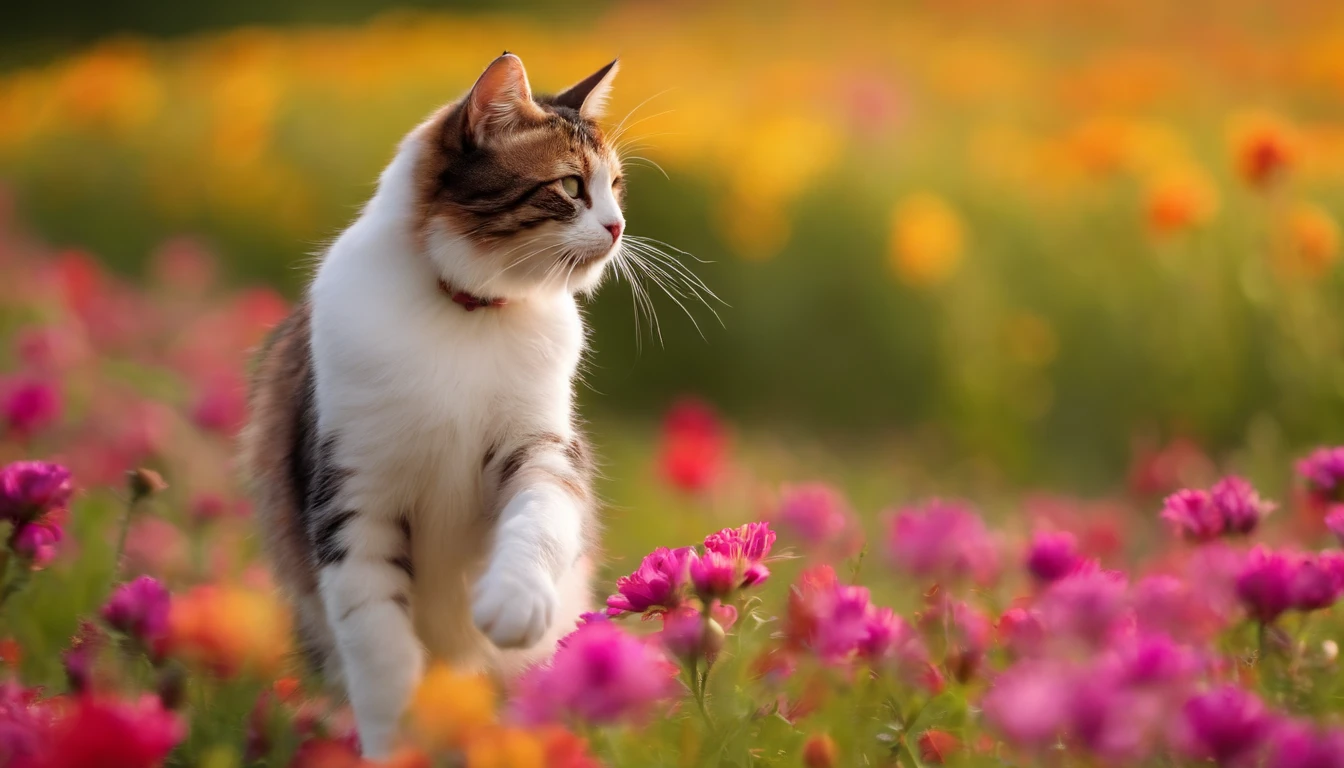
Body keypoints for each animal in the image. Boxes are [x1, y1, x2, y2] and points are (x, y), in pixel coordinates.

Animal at [240, 52, 623, 758]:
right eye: (571, 185)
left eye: (616, 185)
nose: (618, 227)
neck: (466, 313)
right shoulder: (351, 496)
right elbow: (381, 654)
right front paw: (392, 748)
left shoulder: (541, 447)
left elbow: (541, 517)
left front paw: (515, 599)